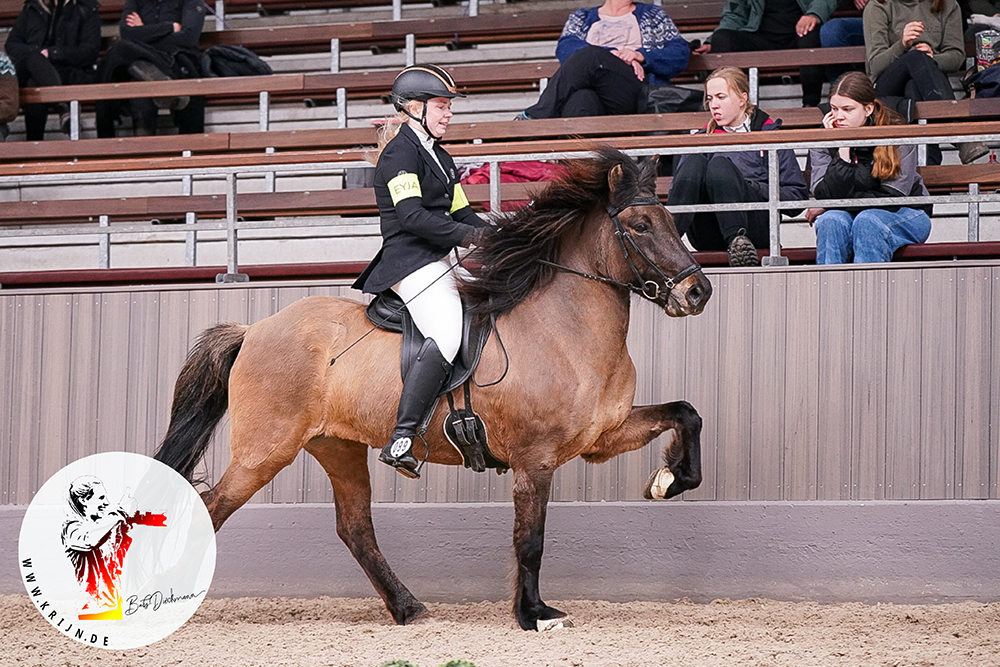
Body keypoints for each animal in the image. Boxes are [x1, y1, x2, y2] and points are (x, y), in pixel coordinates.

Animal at [156, 146, 716, 632]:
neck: (565, 327)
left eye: (672, 222)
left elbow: (687, 412)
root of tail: (254, 329)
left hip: (336, 447)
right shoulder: (536, 458)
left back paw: (408, 607)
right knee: (213, 506)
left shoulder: (602, 436)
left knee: (355, 528)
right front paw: (534, 615)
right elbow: (530, 539)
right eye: (640, 226)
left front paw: (669, 480)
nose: (698, 292)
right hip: (265, 450)